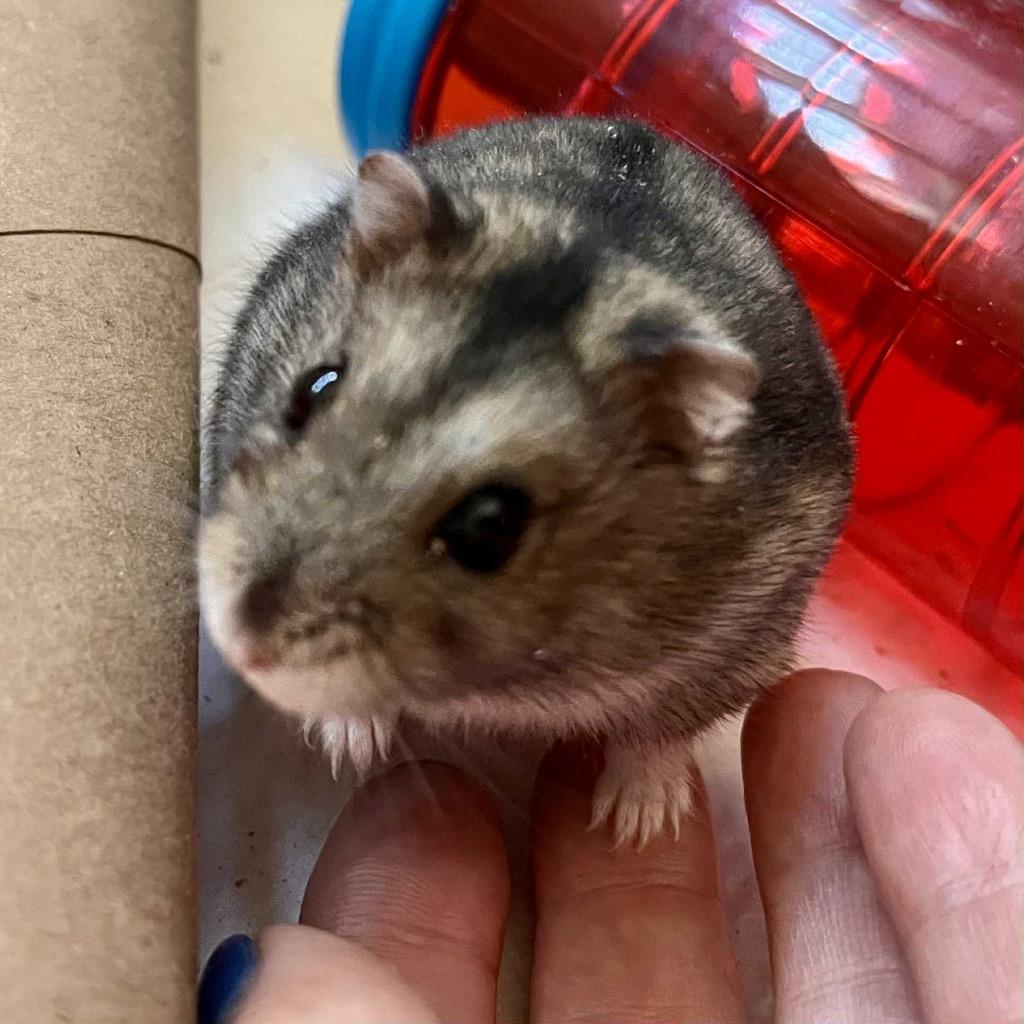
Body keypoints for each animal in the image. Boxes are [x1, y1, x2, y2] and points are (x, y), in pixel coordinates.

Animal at [200, 117, 853, 847]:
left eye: (489, 527)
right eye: (313, 388)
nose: (238, 646)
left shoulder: (737, 648)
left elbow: (657, 736)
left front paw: (634, 826)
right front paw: (350, 747)